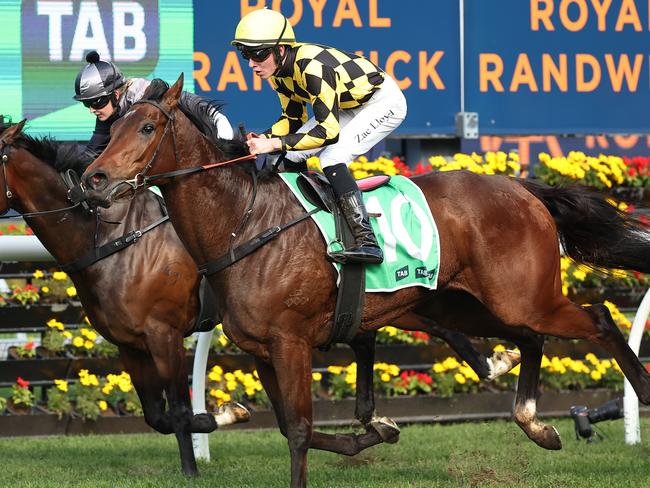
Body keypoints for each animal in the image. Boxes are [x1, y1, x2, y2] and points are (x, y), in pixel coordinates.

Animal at [0, 120, 516, 474]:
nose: (97, 180)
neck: (109, 236)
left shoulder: (163, 333)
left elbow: (181, 412)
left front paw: (210, 438)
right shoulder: (128, 344)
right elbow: (157, 416)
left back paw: (492, 363)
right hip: (392, 297)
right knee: (400, 328)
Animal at [83, 74, 648, 486]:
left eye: (147, 129)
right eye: (110, 130)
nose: (95, 179)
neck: (242, 220)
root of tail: (523, 187)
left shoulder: (290, 341)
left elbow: (300, 430)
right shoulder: (261, 349)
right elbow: (293, 426)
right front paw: (377, 430)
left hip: (522, 297)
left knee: (598, 318)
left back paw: (639, 388)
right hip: (467, 303)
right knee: (530, 338)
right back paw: (538, 425)